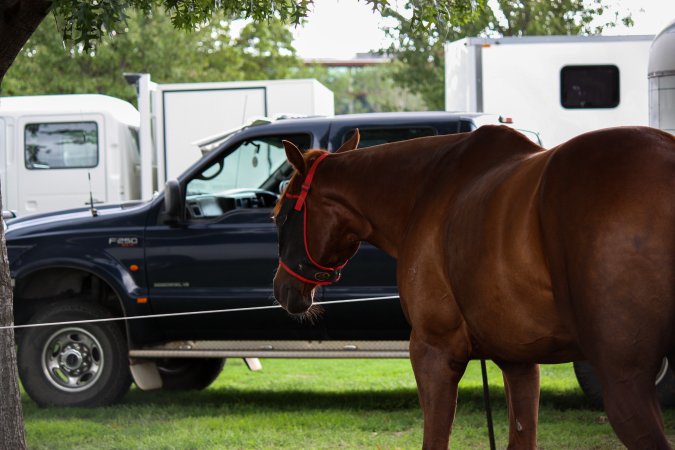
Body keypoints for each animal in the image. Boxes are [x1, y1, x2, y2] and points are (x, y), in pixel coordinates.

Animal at [272, 124, 675, 449]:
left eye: (282, 214)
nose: (280, 288)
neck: (427, 189)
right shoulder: (519, 361)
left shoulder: (433, 351)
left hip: (624, 380)